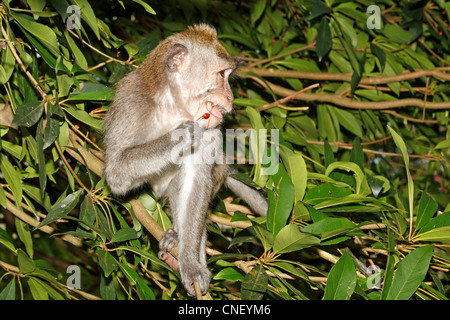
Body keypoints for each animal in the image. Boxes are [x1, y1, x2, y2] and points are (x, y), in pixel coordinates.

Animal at [103, 23, 268, 296]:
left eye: (227, 76)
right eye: (221, 75)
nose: (231, 97)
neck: (174, 106)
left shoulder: (211, 132)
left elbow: (195, 185)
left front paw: (190, 265)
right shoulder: (131, 102)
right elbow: (117, 173)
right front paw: (181, 135)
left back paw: (178, 242)